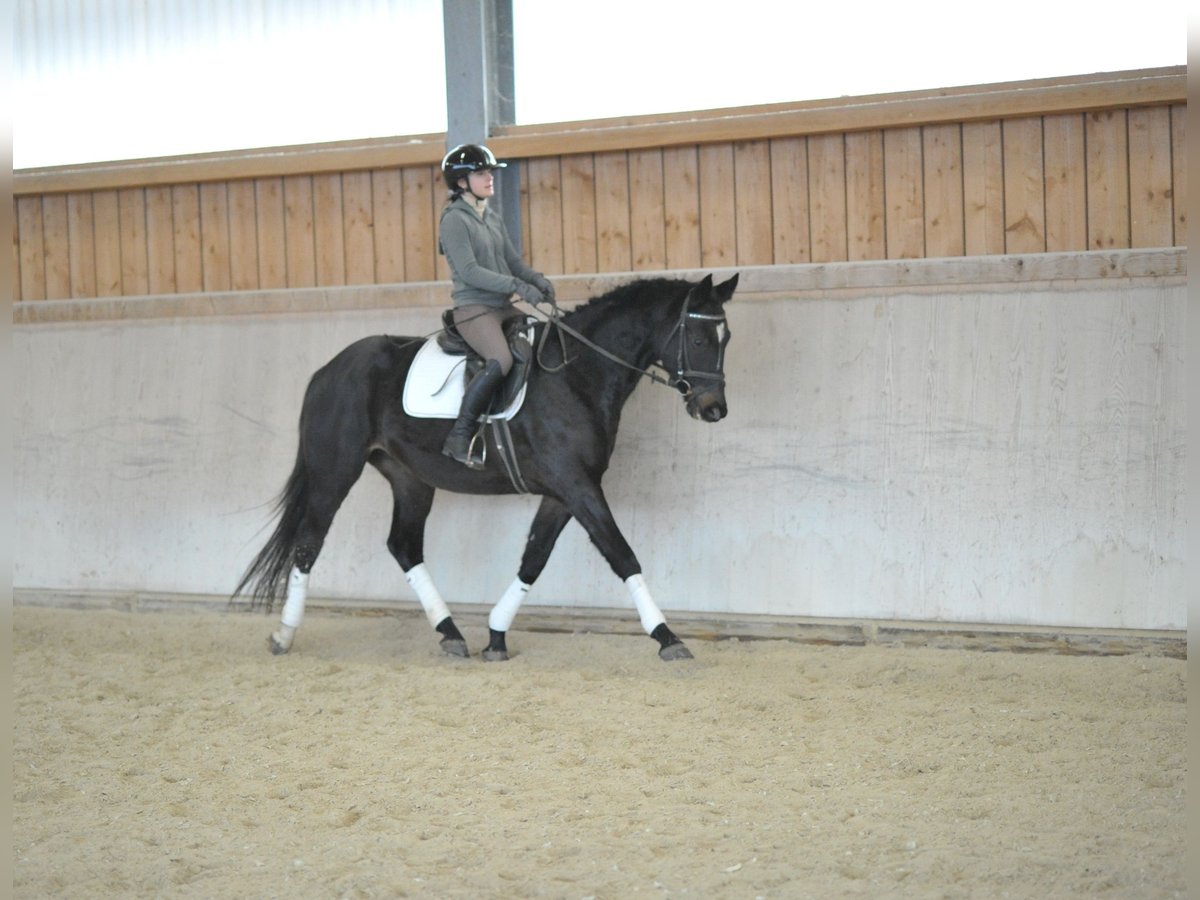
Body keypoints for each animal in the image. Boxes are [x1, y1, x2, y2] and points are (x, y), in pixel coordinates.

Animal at [231, 271, 739, 657]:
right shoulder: (575, 484)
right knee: (308, 544)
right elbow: (622, 553)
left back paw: (451, 634)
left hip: (410, 478)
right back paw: (284, 635)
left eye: (727, 337)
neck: (577, 375)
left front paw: (496, 635)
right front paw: (668, 637)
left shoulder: (564, 491)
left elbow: (534, 559)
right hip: (335, 471)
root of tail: (327, 370)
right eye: (697, 336)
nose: (714, 409)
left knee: (404, 546)